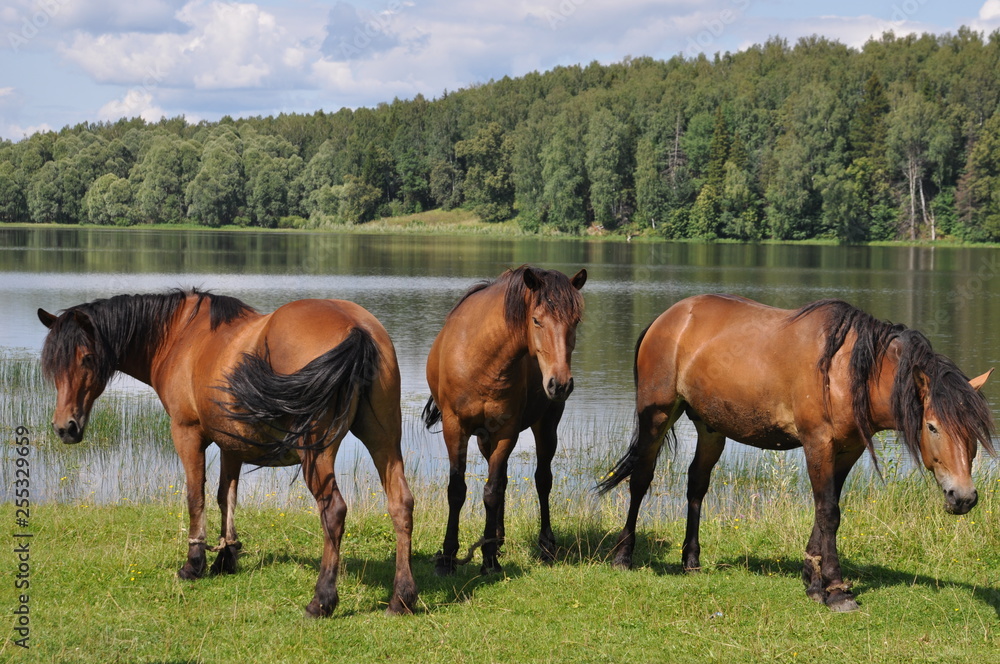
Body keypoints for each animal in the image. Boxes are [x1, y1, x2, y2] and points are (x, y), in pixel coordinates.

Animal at [39, 290, 414, 616]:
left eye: (87, 358)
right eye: (52, 365)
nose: (65, 427)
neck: (181, 336)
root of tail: (356, 327)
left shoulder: (187, 434)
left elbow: (196, 497)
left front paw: (194, 563)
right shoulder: (231, 444)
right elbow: (226, 498)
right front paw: (226, 556)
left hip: (316, 453)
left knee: (333, 512)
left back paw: (321, 601)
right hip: (384, 441)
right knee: (401, 505)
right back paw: (402, 598)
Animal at [422, 266, 584, 576]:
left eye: (576, 320)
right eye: (536, 320)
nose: (560, 384)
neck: (481, 357)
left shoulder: (506, 432)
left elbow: (492, 491)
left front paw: (488, 561)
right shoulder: (455, 428)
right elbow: (457, 490)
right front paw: (448, 558)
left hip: (546, 426)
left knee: (542, 480)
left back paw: (545, 545)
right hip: (484, 438)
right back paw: (497, 540)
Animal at [596, 296, 996, 612]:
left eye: (973, 432)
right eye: (932, 426)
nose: (963, 497)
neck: (848, 371)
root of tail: (668, 317)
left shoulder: (847, 450)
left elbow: (826, 511)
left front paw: (814, 582)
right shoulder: (817, 443)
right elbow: (829, 513)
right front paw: (837, 591)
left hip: (711, 428)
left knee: (697, 484)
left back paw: (691, 561)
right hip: (657, 415)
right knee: (640, 480)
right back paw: (623, 557)